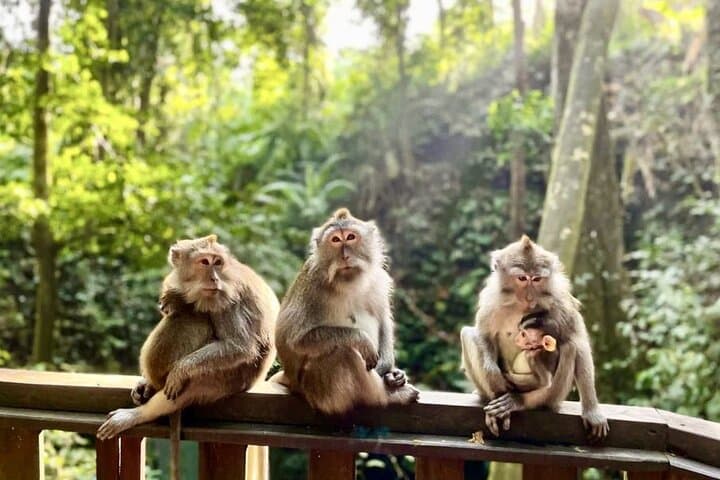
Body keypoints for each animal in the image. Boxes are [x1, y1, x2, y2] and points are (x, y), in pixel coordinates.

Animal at [97, 235, 279, 478]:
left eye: (217, 262)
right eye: (204, 262)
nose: (214, 278)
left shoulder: (227, 297)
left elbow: (239, 345)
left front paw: (180, 370)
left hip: (227, 379)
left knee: (194, 318)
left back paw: (140, 414)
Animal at [272, 208, 419, 415]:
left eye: (350, 237)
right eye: (335, 240)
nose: (345, 256)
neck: (348, 282)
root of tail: (291, 381)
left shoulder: (378, 280)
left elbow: (383, 321)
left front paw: (390, 370)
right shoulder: (312, 287)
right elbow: (296, 339)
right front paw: (362, 340)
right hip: (318, 390)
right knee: (344, 353)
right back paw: (388, 396)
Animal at [460, 235, 609, 439]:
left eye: (537, 279)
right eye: (522, 278)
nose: (530, 297)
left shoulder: (560, 299)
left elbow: (579, 343)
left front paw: (592, 411)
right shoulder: (491, 299)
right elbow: (483, 334)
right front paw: (493, 374)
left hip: (552, 396)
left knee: (569, 347)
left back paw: (518, 401)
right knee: (467, 334)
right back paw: (493, 397)